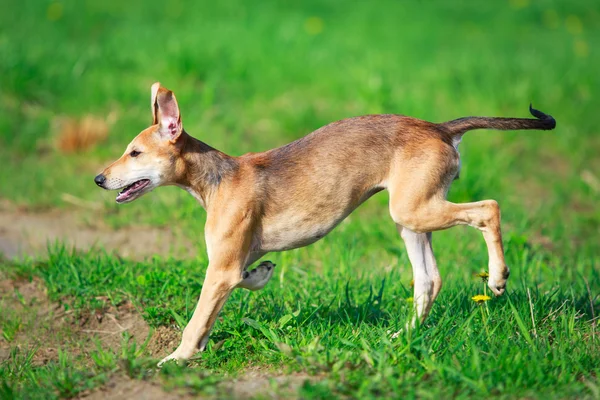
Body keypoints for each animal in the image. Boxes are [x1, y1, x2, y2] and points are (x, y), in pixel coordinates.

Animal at [94, 83, 556, 364]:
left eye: (134, 153)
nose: (99, 178)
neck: (216, 178)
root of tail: (440, 128)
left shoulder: (220, 269)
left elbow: (195, 322)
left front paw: (177, 359)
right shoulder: (230, 266)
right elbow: (232, 292)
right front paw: (261, 275)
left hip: (415, 210)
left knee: (489, 208)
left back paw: (497, 278)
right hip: (411, 217)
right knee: (429, 280)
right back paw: (402, 337)